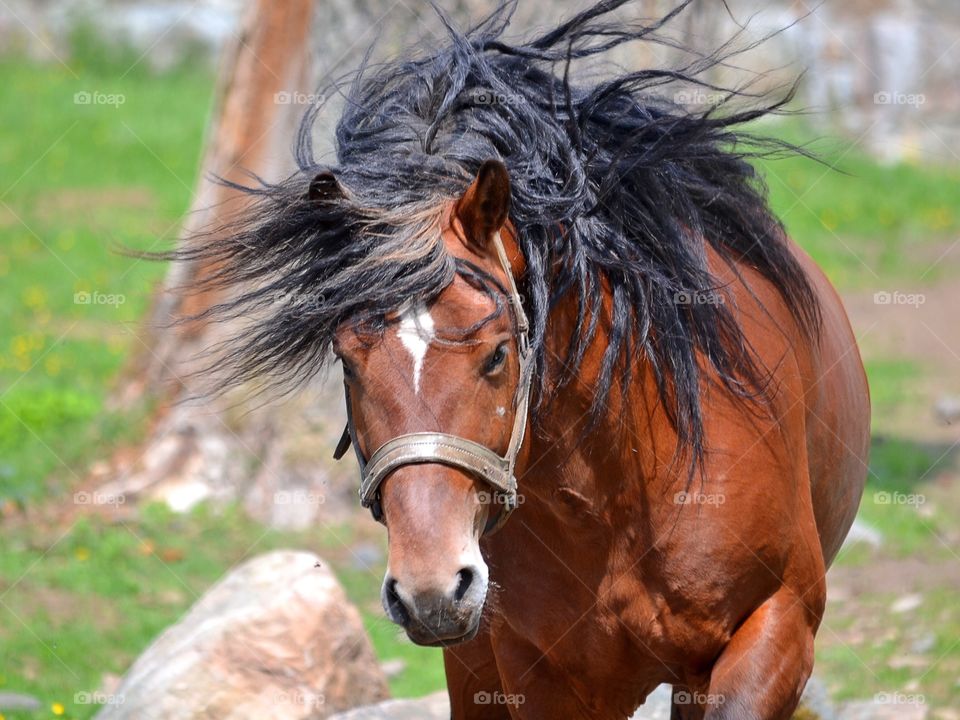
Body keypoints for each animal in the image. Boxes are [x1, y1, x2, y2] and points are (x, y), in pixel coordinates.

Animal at [180, 2, 870, 717]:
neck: (629, 488)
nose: (430, 589)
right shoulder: (538, 672)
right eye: (347, 361)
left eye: (496, 356)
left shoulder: (775, 629)